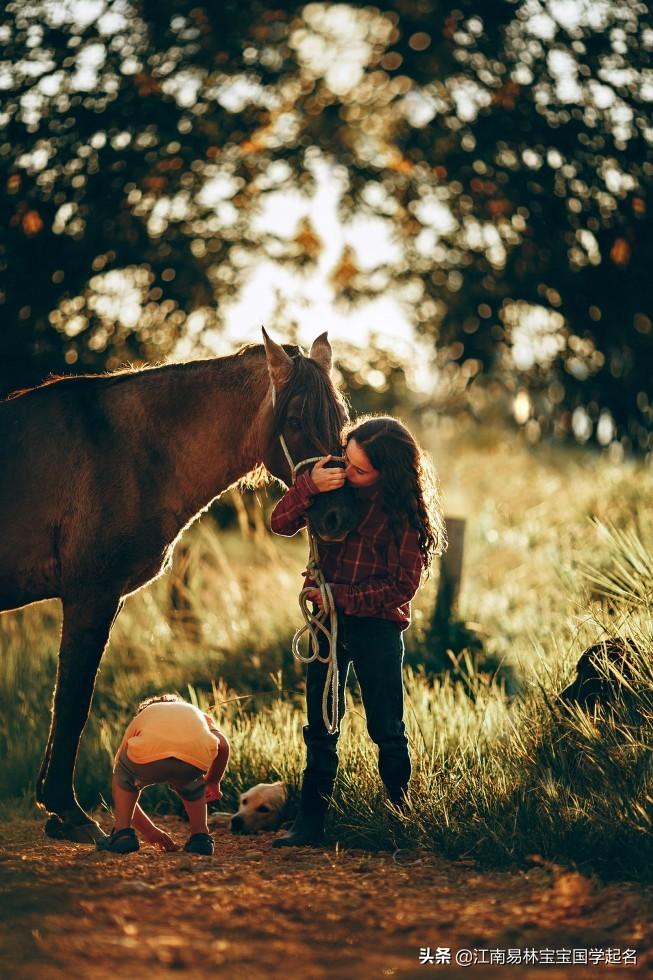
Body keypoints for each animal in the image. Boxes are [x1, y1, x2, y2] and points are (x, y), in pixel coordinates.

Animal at [0, 332, 356, 844]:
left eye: (341, 422)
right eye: (294, 421)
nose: (339, 517)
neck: (124, 451)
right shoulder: (91, 595)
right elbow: (72, 701)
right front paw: (67, 812)